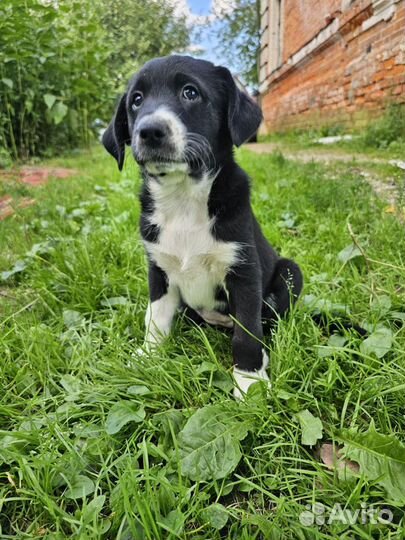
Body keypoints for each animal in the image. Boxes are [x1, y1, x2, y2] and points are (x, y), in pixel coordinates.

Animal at [102, 57, 302, 398]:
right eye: (136, 101)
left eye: (190, 92)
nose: (149, 131)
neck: (183, 199)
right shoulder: (159, 270)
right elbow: (156, 317)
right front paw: (147, 356)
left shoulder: (243, 271)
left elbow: (247, 332)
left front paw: (249, 382)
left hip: (290, 271)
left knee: (271, 321)